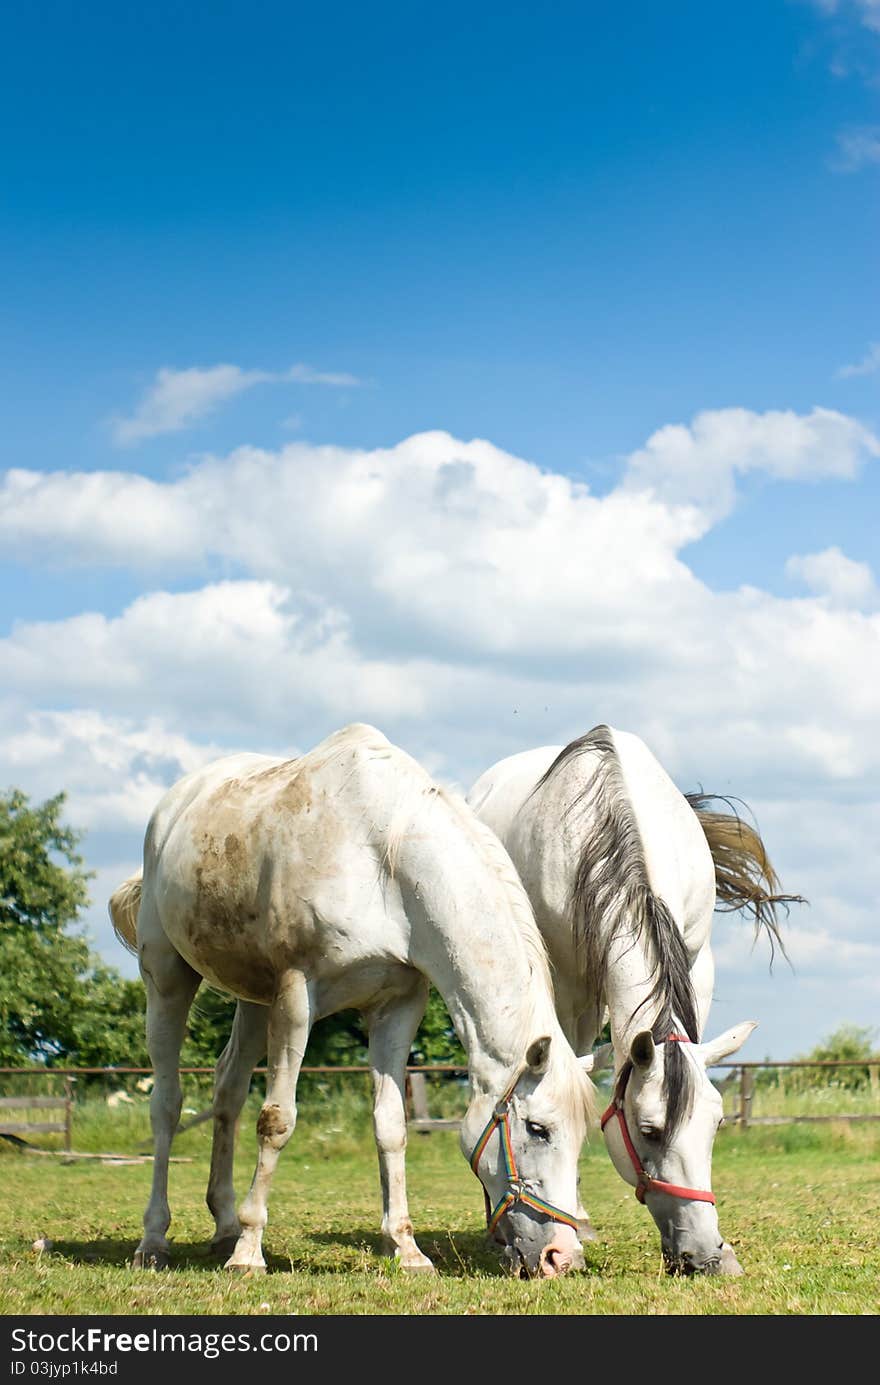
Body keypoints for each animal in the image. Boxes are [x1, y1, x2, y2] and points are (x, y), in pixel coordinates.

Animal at [108, 725, 593, 1274]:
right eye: (537, 1129)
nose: (562, 1256)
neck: (385, 862)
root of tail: (174, 805)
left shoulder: (397, 1006)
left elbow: (391, 1125)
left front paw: (405, 1248)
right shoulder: (296, 995)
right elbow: (277, 1119)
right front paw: (250, 1252)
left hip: (254, 999)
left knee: (226, 1090)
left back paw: (225, 1224)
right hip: (167, 977)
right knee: (167, 1105)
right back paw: (155, 1239)